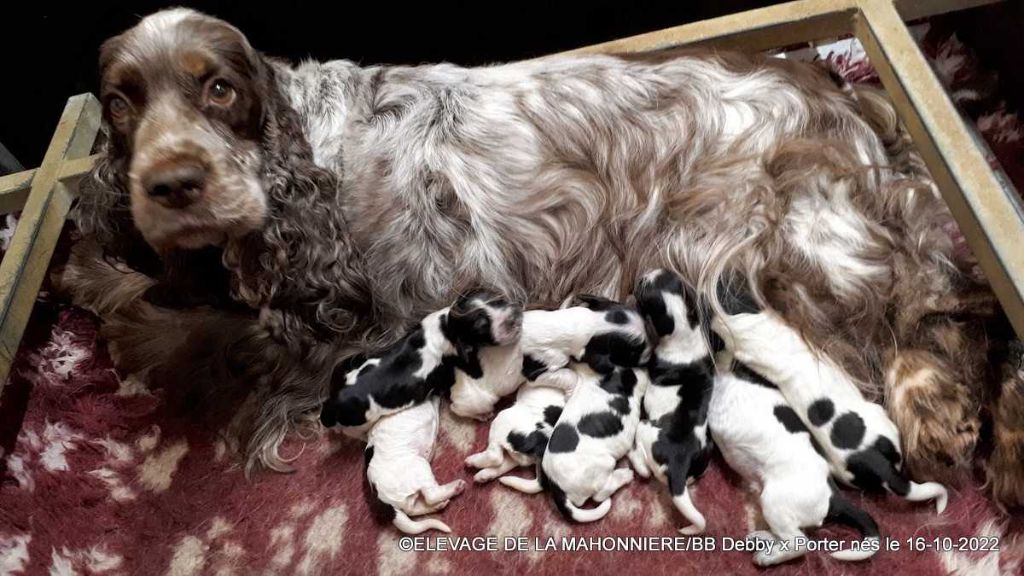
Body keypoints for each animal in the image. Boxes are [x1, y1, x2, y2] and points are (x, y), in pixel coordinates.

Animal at [364, 393, 468, 532]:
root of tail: (382, 499)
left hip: (408, 498)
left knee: (413, 510)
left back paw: (438, 505)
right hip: (420, 465)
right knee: (431, 496)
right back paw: (455, 487)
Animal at [626, 268, 716, 532]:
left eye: (643, 287)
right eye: (669, 274)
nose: (643, 273)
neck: (684, 326)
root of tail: (679, 463)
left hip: (645, 428)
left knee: (644, 467)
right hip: (705, 454)